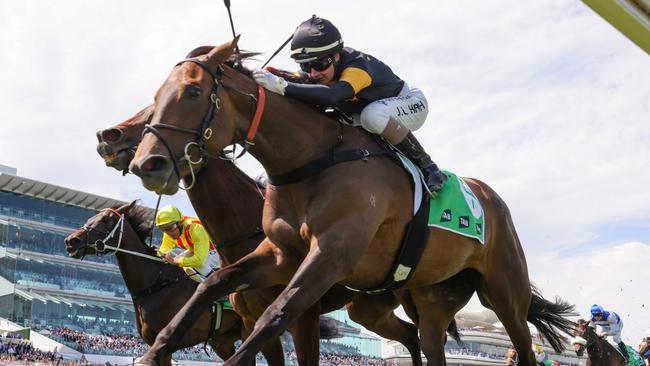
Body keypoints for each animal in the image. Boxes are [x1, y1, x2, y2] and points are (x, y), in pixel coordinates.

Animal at [63, 203, 243, 364]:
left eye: (106, 219)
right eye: (90, 218)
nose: (71, 241)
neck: (156, 285)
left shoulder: (167, 346)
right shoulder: (154, 344)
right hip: (222, 341)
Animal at [96, 98, 468, 366]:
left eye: (153, 113)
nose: (107, 136)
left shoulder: (303, 315)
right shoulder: (245, 322)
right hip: (369, 308)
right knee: (410, 335)